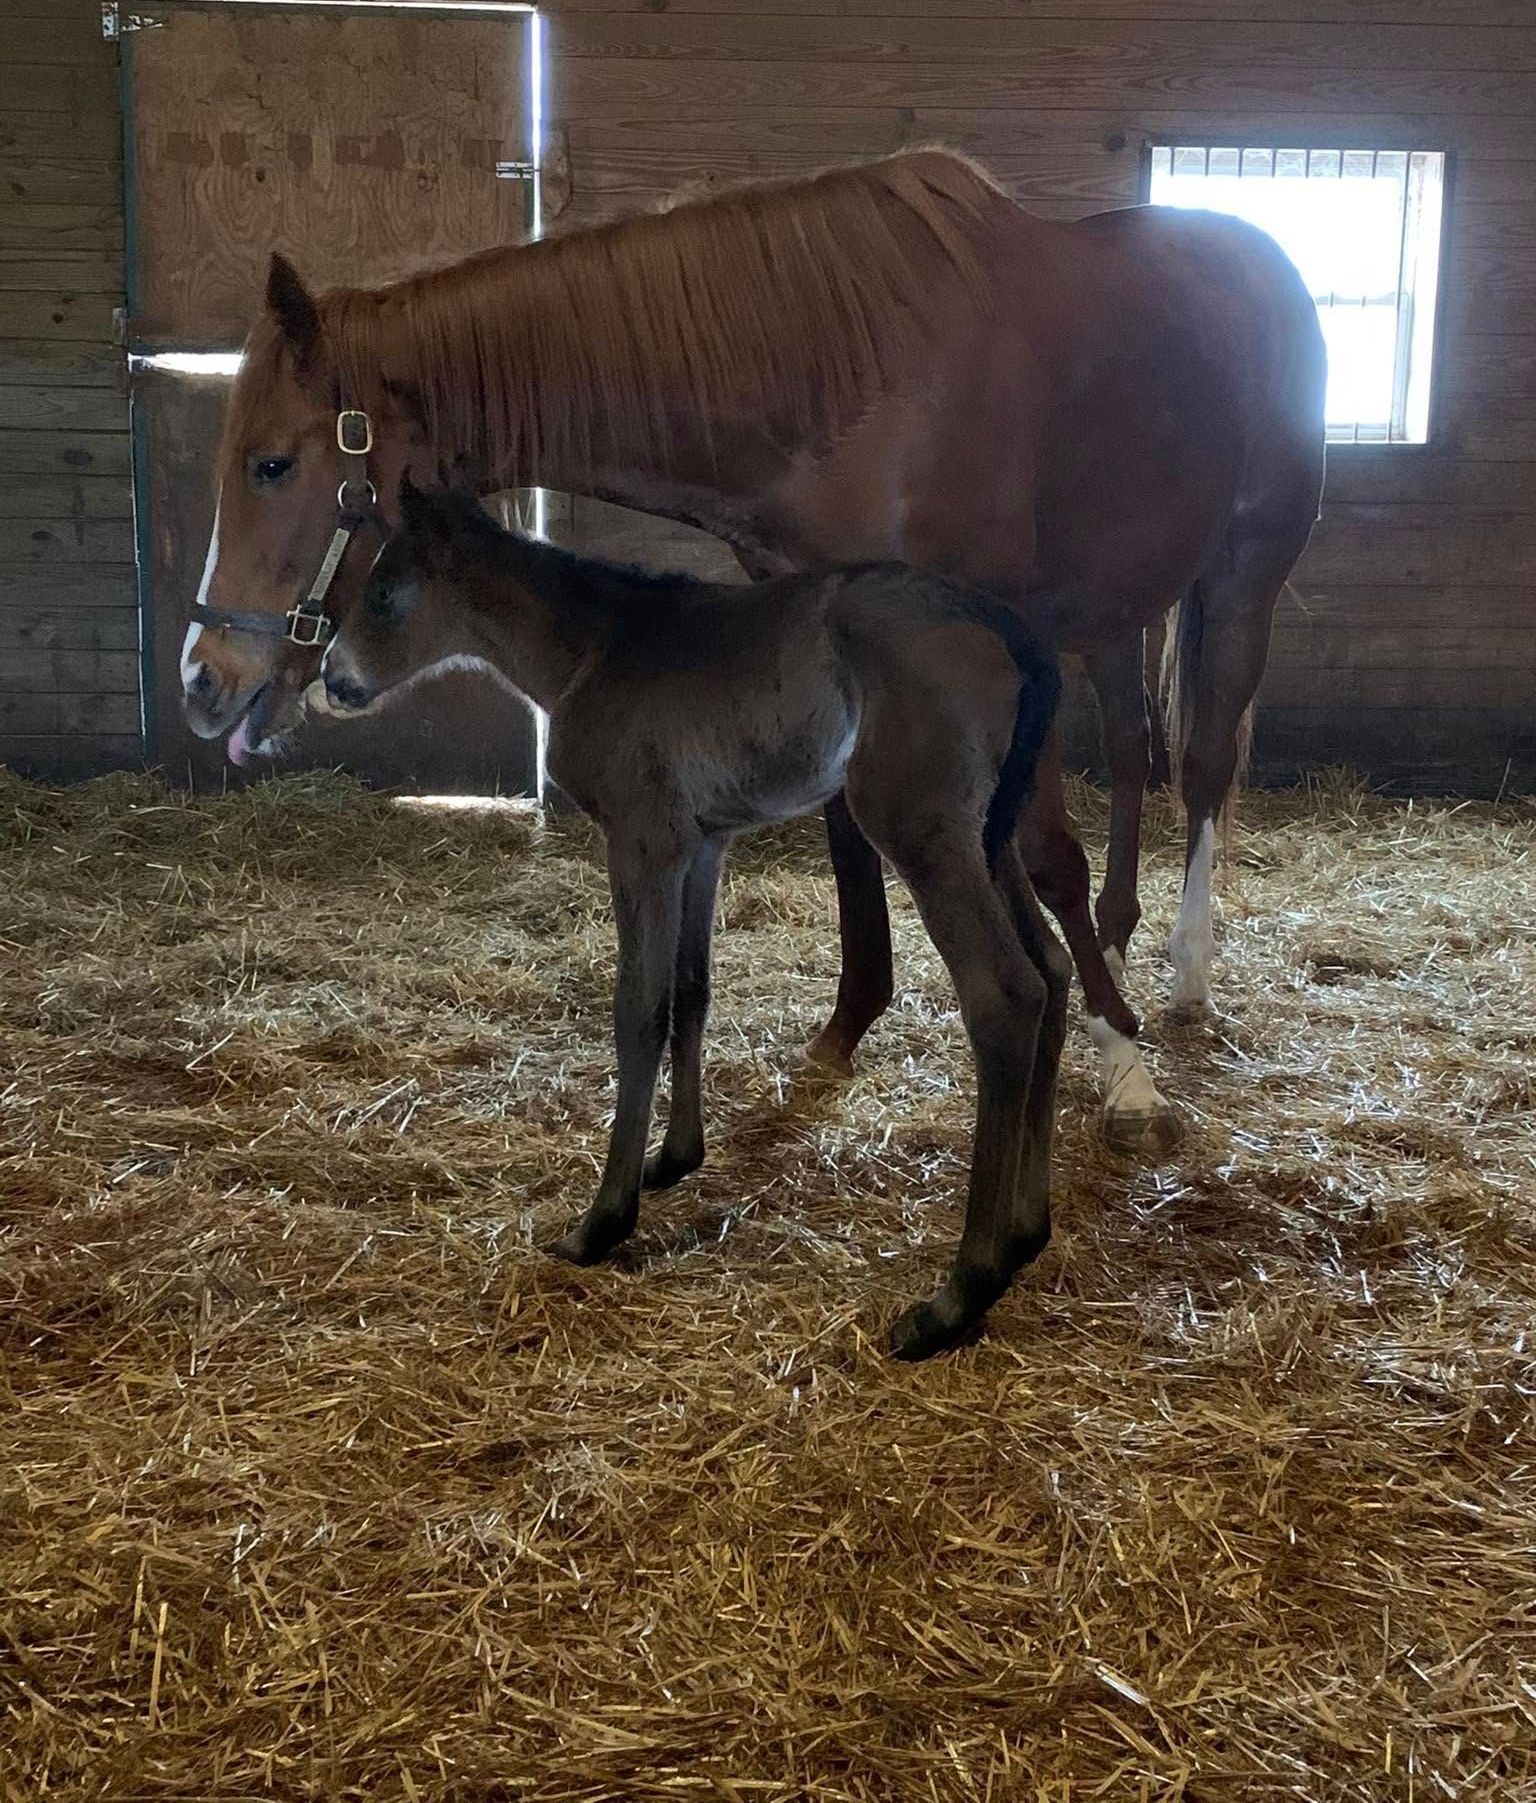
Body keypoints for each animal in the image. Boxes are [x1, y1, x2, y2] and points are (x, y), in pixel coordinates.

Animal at [179, 148, 1327, 1153]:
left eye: (273, 463)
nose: (204, 677)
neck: (851, 379)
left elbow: (1045, 851)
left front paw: (1120, 1062)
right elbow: (854, 837)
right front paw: (848, 1025)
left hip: (1241, 578)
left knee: (1203, 767)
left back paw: (1181, 975)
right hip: (1116, 614)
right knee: (1134, 754)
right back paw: (1125, 944)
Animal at [319, 476, 1067, 1360]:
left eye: (385, 592)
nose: (332, 678)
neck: (596, 648)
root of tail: (1000, 623)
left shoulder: (644, 841)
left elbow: (638, 1010)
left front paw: (602, 1221)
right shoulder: (705, 843)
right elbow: (692, 989)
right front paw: (674, 1157)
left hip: (923, 830)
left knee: (1006, 993)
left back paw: (956, 1297)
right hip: (992, 832)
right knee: (1055, 971)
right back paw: (1024, 1233)